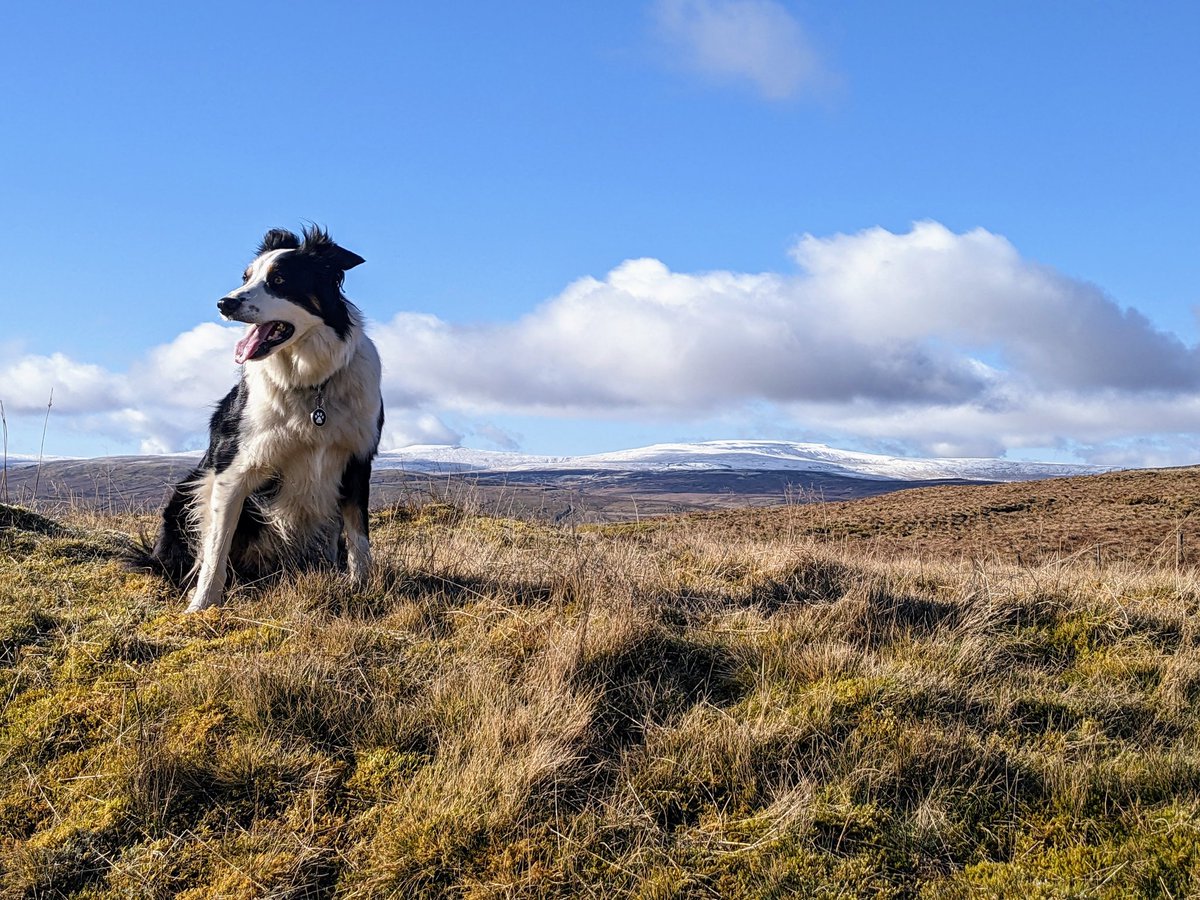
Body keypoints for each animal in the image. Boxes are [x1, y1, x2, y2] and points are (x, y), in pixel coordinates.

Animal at [138, 229, 386, 619]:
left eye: (280, 280)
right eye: (245, 277)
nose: (224, 303)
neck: (311, 382)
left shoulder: (357, 461)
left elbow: (359, 537)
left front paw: (361, 588)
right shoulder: (231, 470)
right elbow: (216, 549)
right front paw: (202, 605)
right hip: (187, 491)